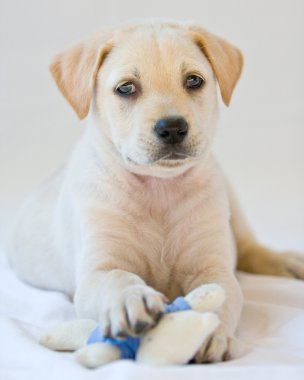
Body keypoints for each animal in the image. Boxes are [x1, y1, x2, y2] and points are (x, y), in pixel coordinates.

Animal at [8, 20, 304, 362]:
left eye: (193, 81)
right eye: (126, 88)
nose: (173, 128)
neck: (159, 188)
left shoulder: (213, 267)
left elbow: (220, 295)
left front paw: (209, 332)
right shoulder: (98, 268)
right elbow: (118, 277)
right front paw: (130, 300)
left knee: (247, 248)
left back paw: (289, 262)